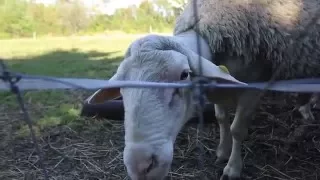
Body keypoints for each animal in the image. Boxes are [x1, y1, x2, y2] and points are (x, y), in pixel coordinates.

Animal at [88, 0, 320, 180]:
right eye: (121, 88)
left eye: (184, 75)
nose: (142, 166)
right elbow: (221, 119)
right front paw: (222, 152)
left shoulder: (255, 84)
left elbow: (237, 129)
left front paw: (232, 168)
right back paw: (304, 107)